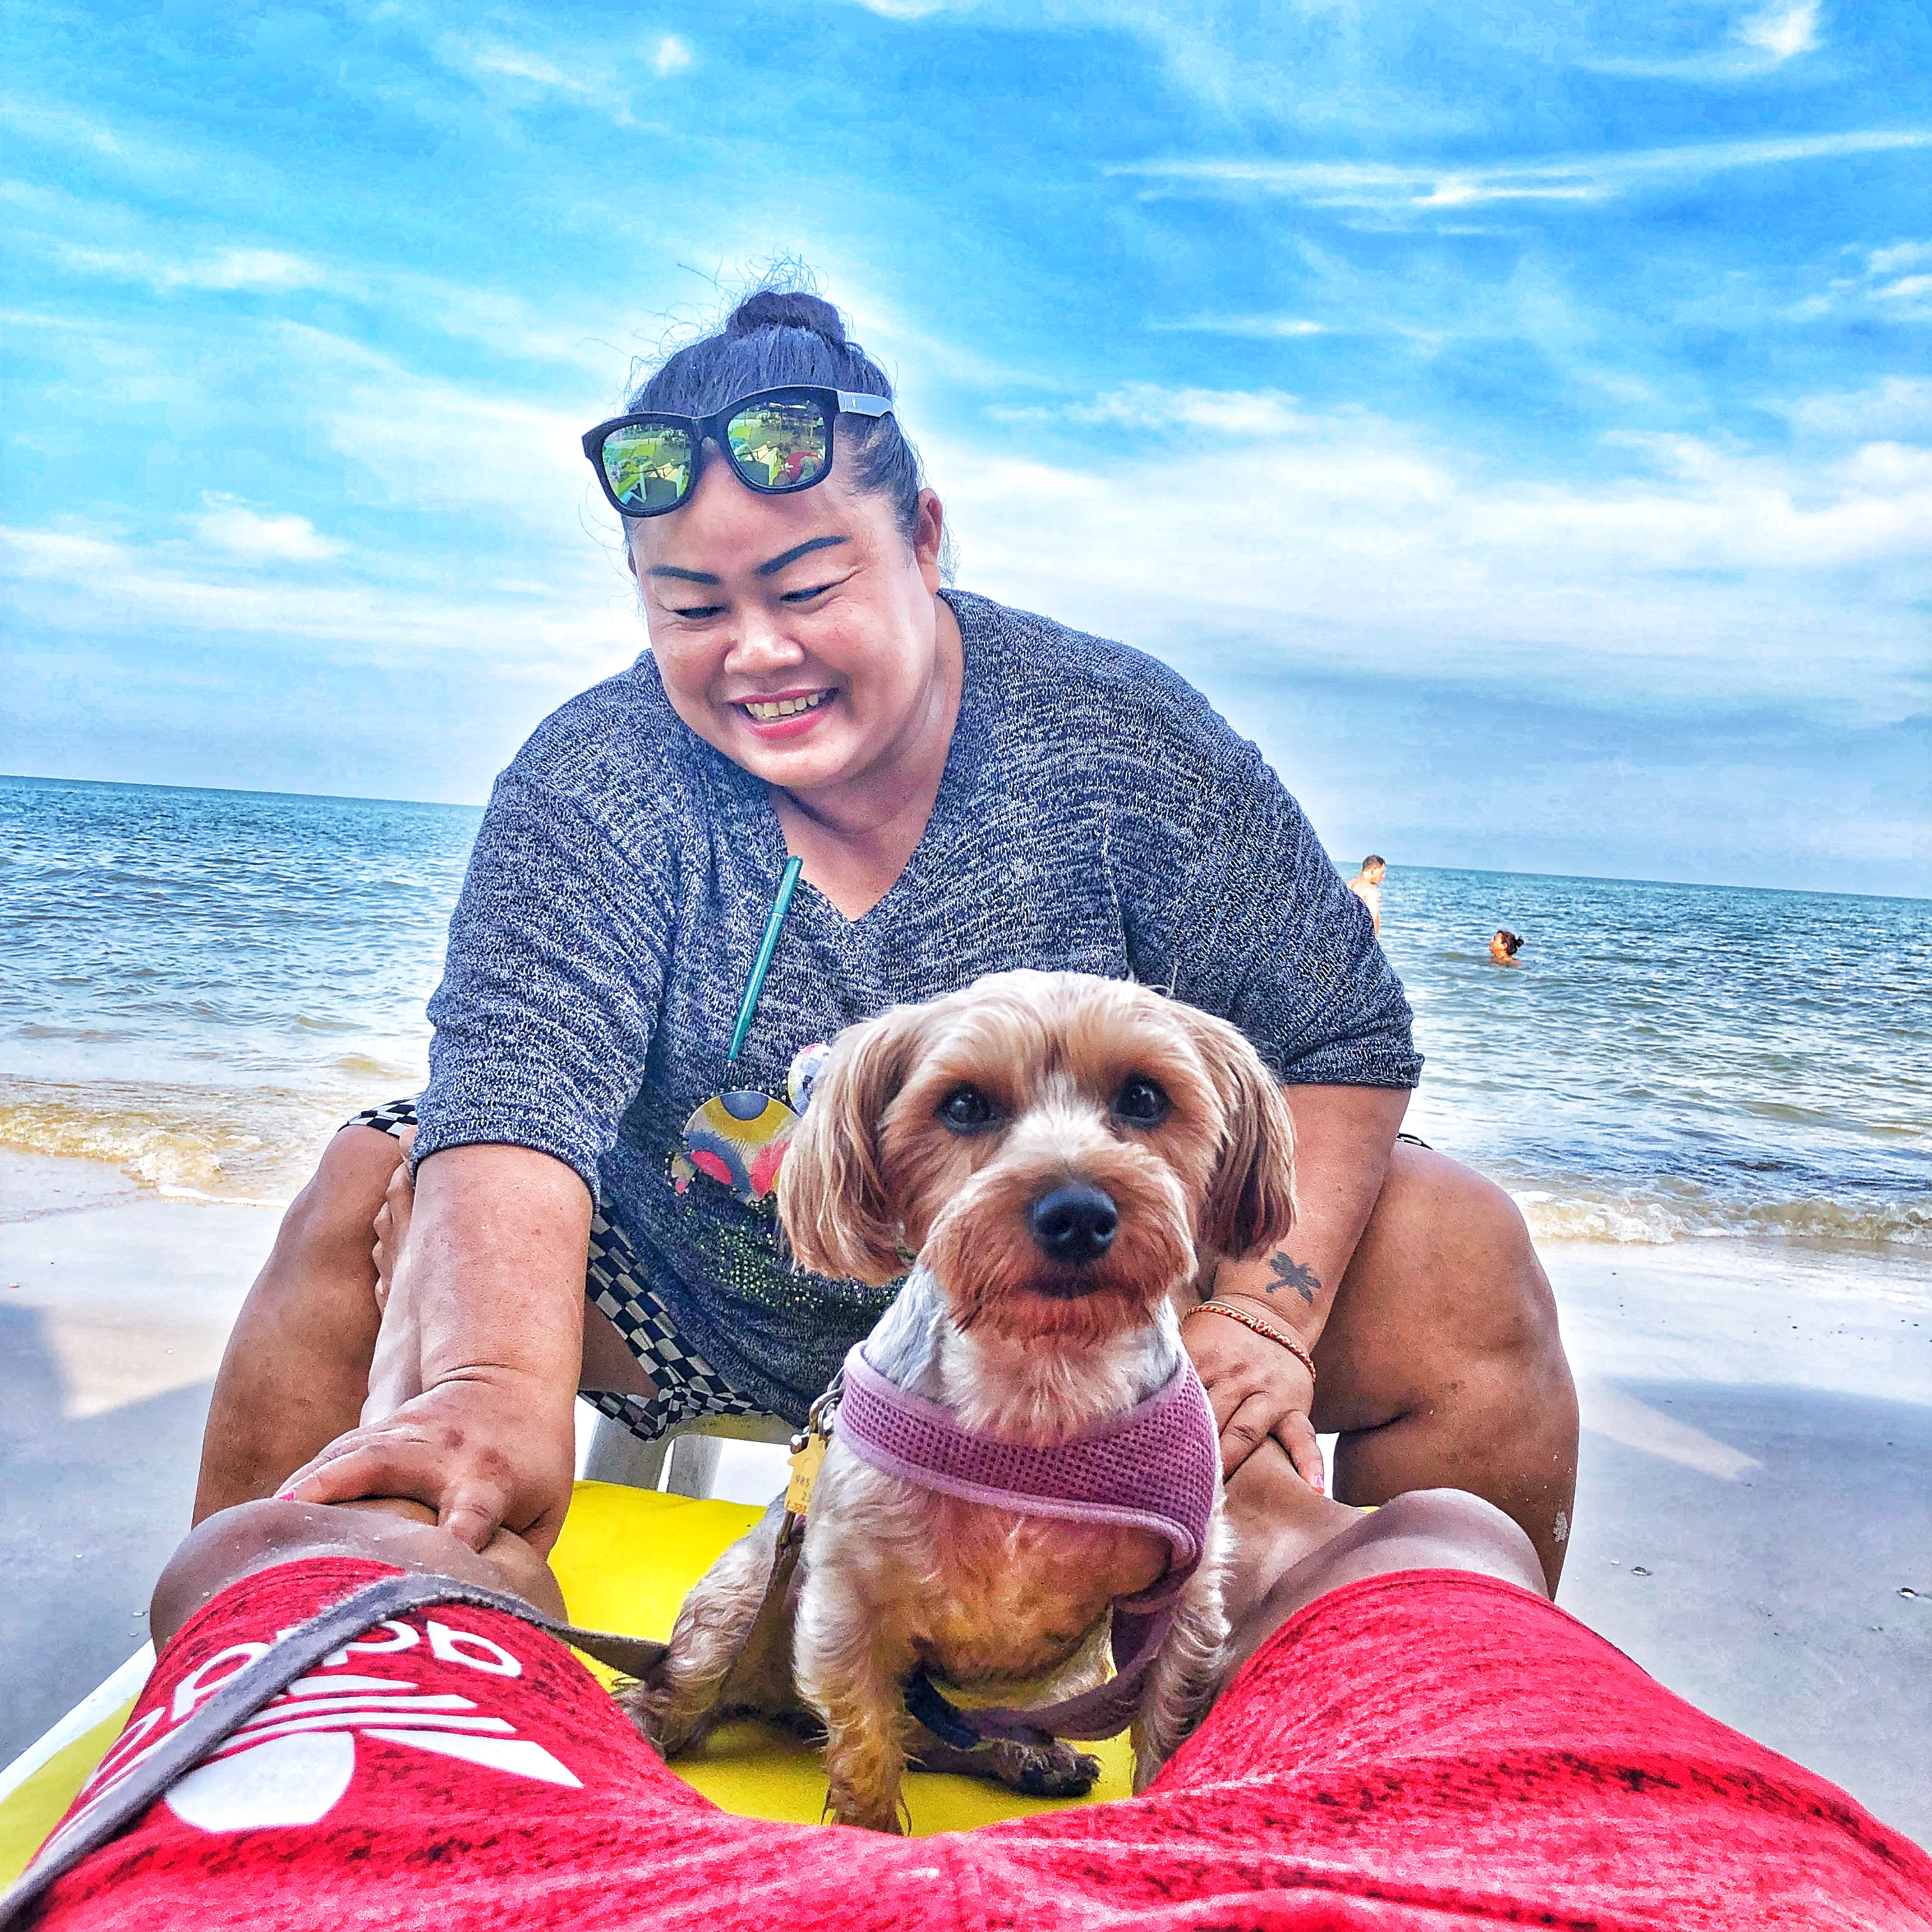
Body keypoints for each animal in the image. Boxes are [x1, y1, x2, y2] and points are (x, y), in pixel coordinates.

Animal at [625, 974, 1291, 1831]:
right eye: (965, 1105)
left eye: (1145, 1097)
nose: (1077, 1210)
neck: (1041, 1375)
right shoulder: (849, 1595)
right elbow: (865, 1743)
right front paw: (869, 1831)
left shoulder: (1186, 1602)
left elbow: (1170, 1725)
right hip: (742, 1596)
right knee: (691, 1680)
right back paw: (644, 1723)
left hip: (1061, 1678)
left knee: (954, 1739)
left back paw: (1027, 1756)